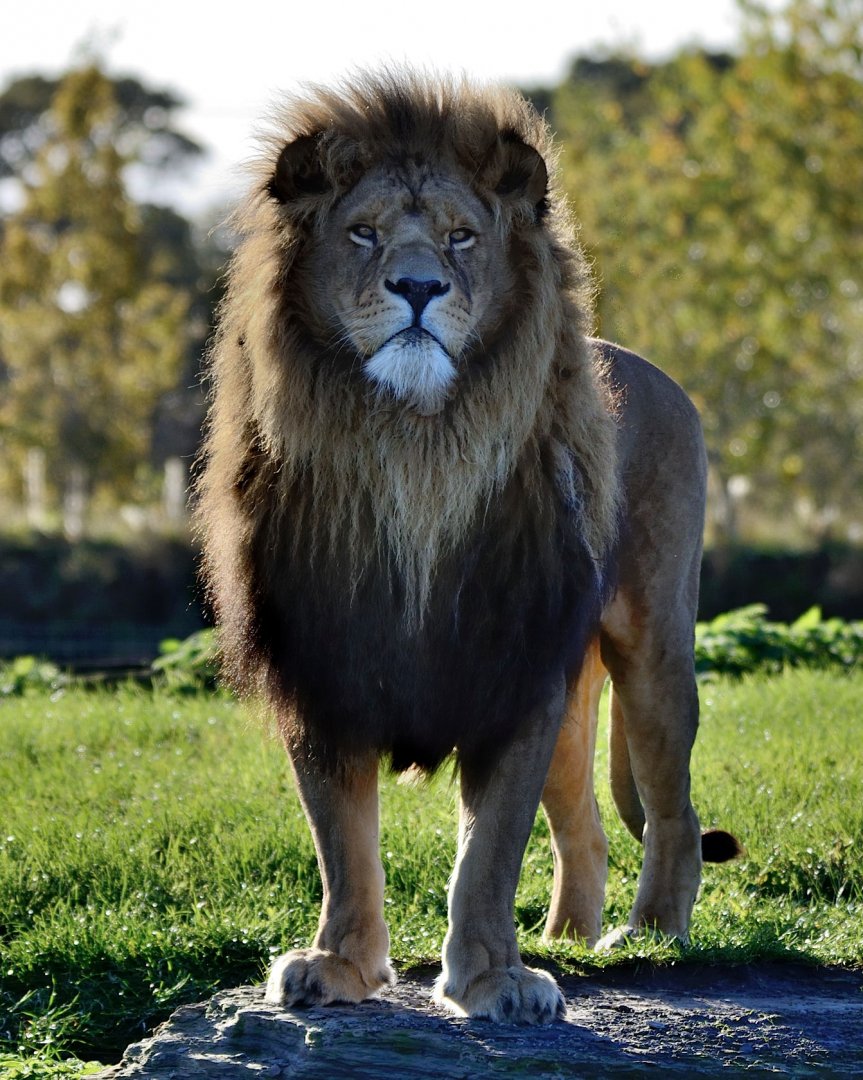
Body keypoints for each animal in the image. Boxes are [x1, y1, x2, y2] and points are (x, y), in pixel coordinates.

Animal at [196, 69, 738, 1027]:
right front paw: (338, 965)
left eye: (460, 236)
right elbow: (343, 841)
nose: (417, 286)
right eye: (364, 231)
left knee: (671, 807)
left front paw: (492, 977)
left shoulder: (514, 667)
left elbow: (489, 850)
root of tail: (646, 365)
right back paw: (569, 938)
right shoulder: (323, 665)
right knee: (584, 830)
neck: (416, 448)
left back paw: (650, 934)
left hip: (652, 647)